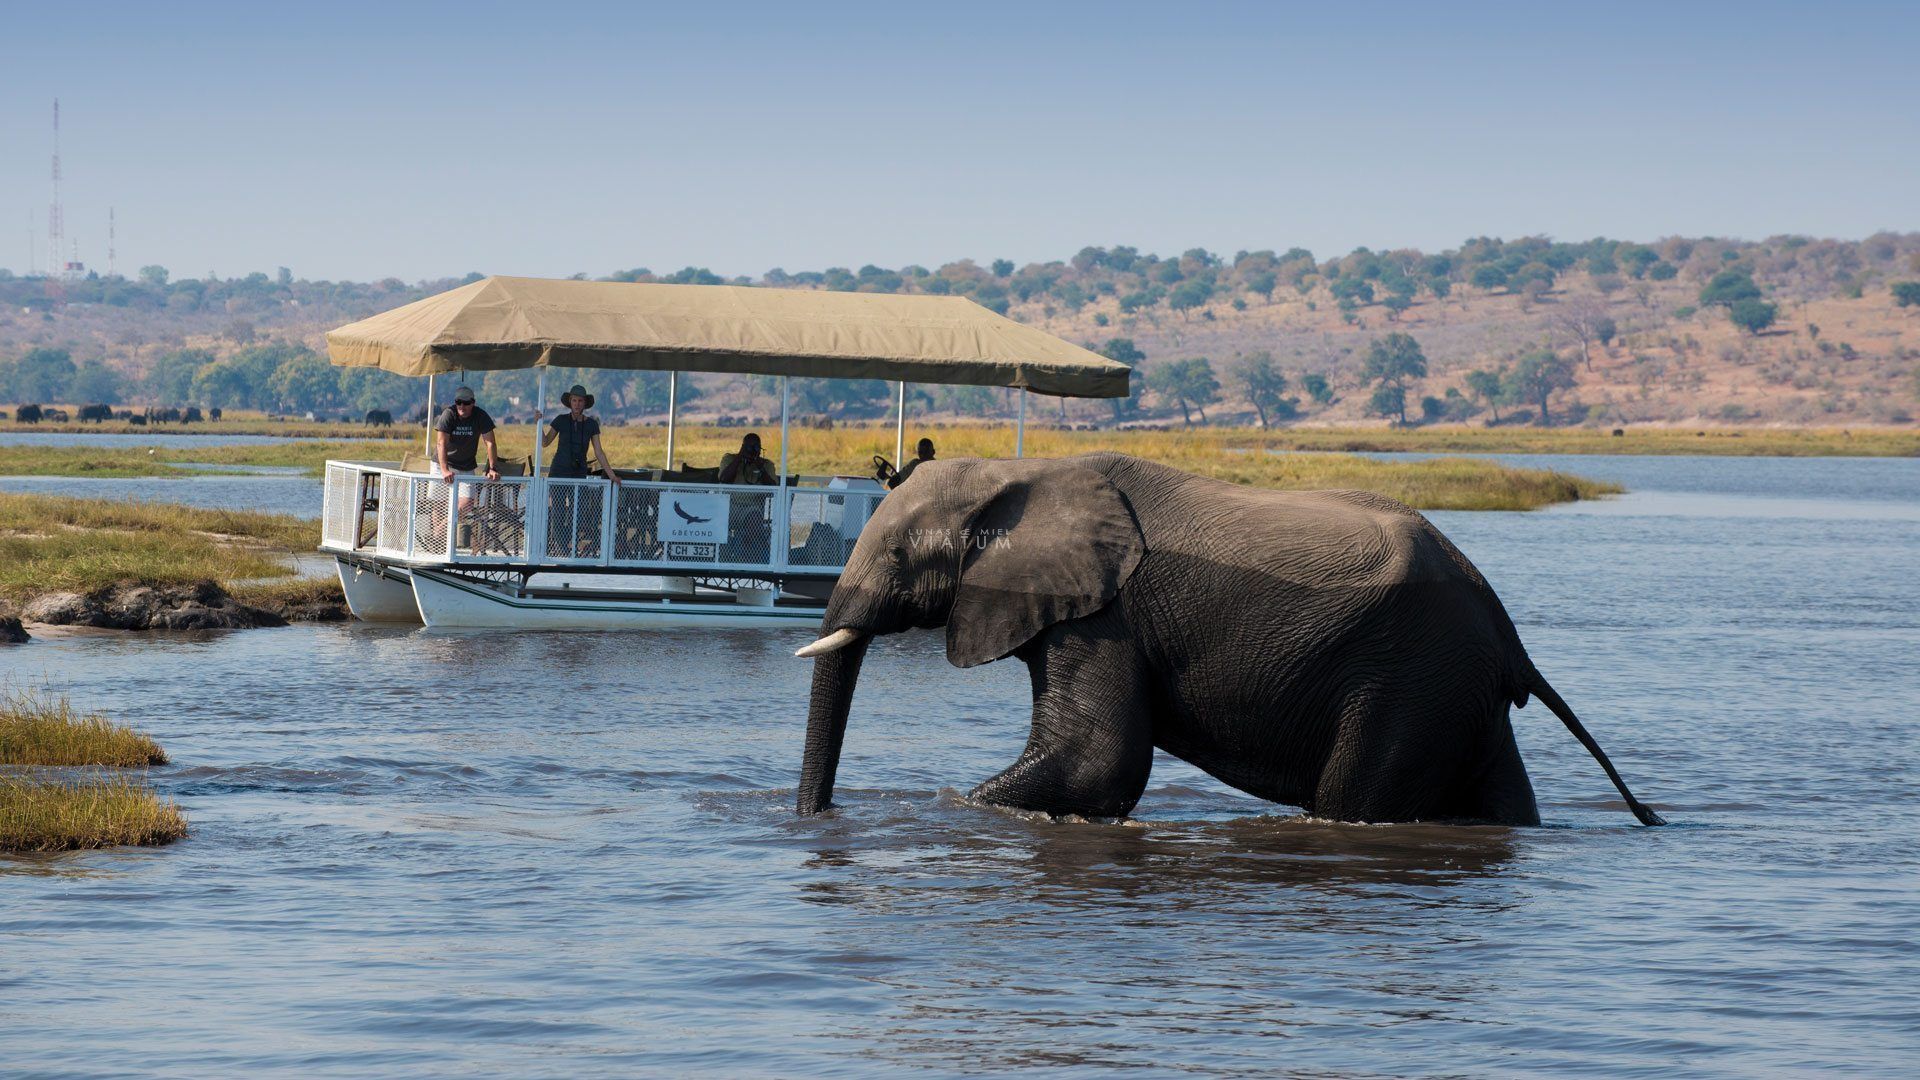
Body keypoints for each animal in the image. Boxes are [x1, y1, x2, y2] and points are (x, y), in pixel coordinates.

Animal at [794, 451, 1666, 822]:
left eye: (898, 556)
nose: (816, 818)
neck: (1021, 473)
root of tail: (1505, 628)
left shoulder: (1108, 613)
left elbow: (1098, 760)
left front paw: (950, 809)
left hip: (1410, 682)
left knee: (1353, 800)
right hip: (1458, 691)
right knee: (1504, 803)